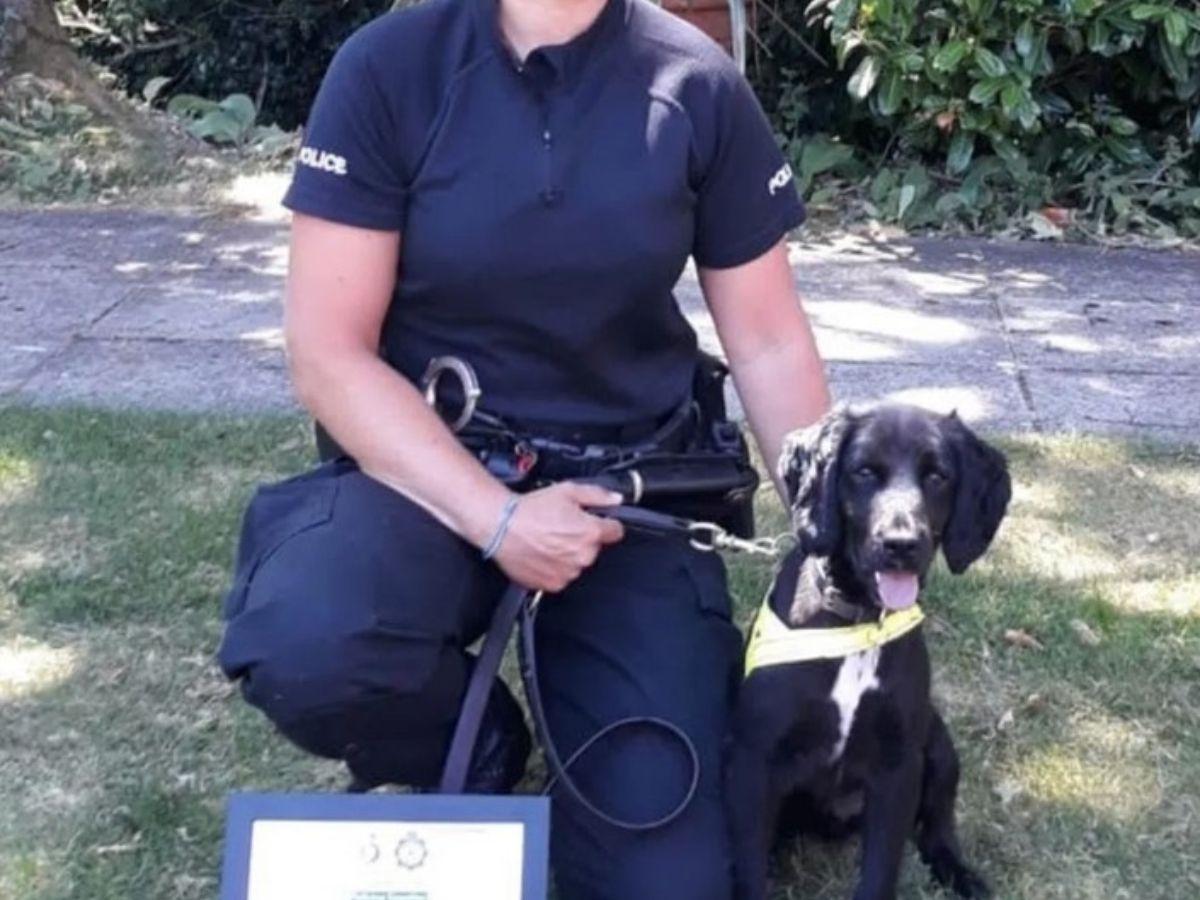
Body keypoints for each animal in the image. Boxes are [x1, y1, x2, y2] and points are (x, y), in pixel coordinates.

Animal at [720, 405, 1012, 900]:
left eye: (937, 476)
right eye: (863, 472)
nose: (901, 545)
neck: (857, 620)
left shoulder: (897, 767)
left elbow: (880, 872)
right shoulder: (754, 761)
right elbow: (749, 870)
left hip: (938, 743)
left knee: (938, 822)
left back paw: (958, 871)